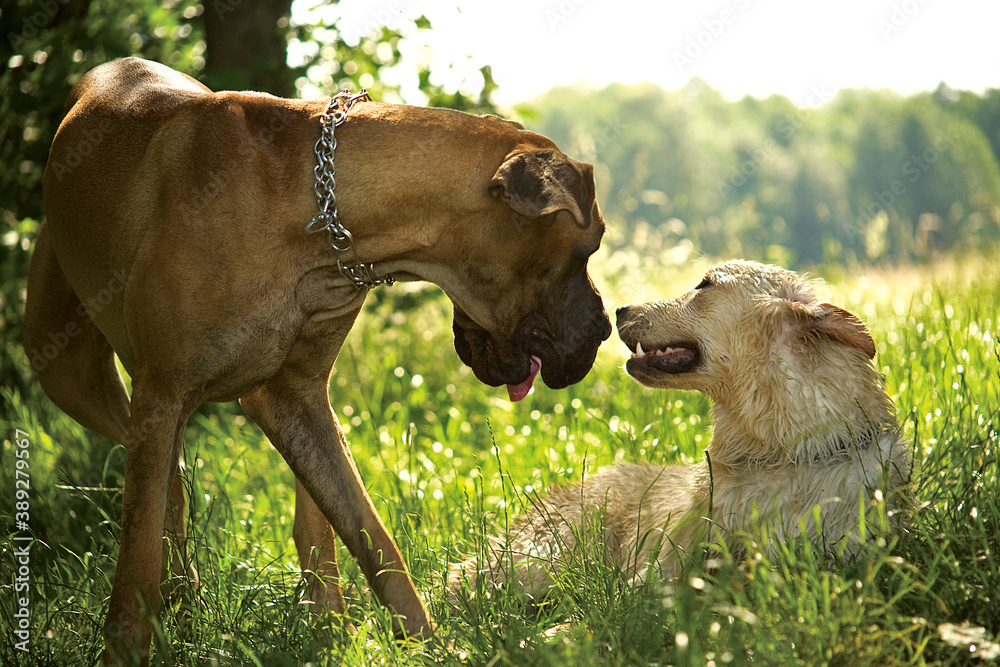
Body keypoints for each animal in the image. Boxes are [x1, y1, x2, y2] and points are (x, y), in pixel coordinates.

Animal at [25, 57, 608, 664]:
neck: (317, 210)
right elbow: (136, 555)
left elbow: (372, 537)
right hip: (69, 372)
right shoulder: (162, 394)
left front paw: (427, 645)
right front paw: (127, 642)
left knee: (278, 514)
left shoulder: (292, 395)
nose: (604, 328)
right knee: (162, 484)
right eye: (588, 248)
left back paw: (314, 617)